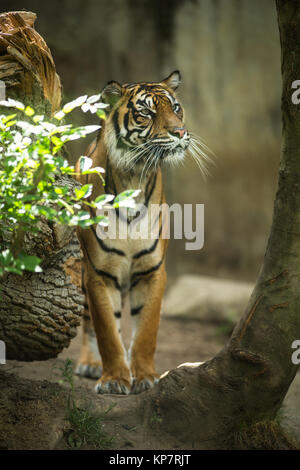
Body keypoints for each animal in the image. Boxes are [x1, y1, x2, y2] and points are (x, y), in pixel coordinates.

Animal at [74, 69, 198, 392]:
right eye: (146, 113)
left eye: (176, 108)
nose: (180, 132)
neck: (134, 174)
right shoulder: (99, 273)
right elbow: (107, 330)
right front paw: (114, 378)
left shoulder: (152, 270)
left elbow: (146, 331)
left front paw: (145, 376)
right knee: (89, 320)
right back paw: (91, 364)